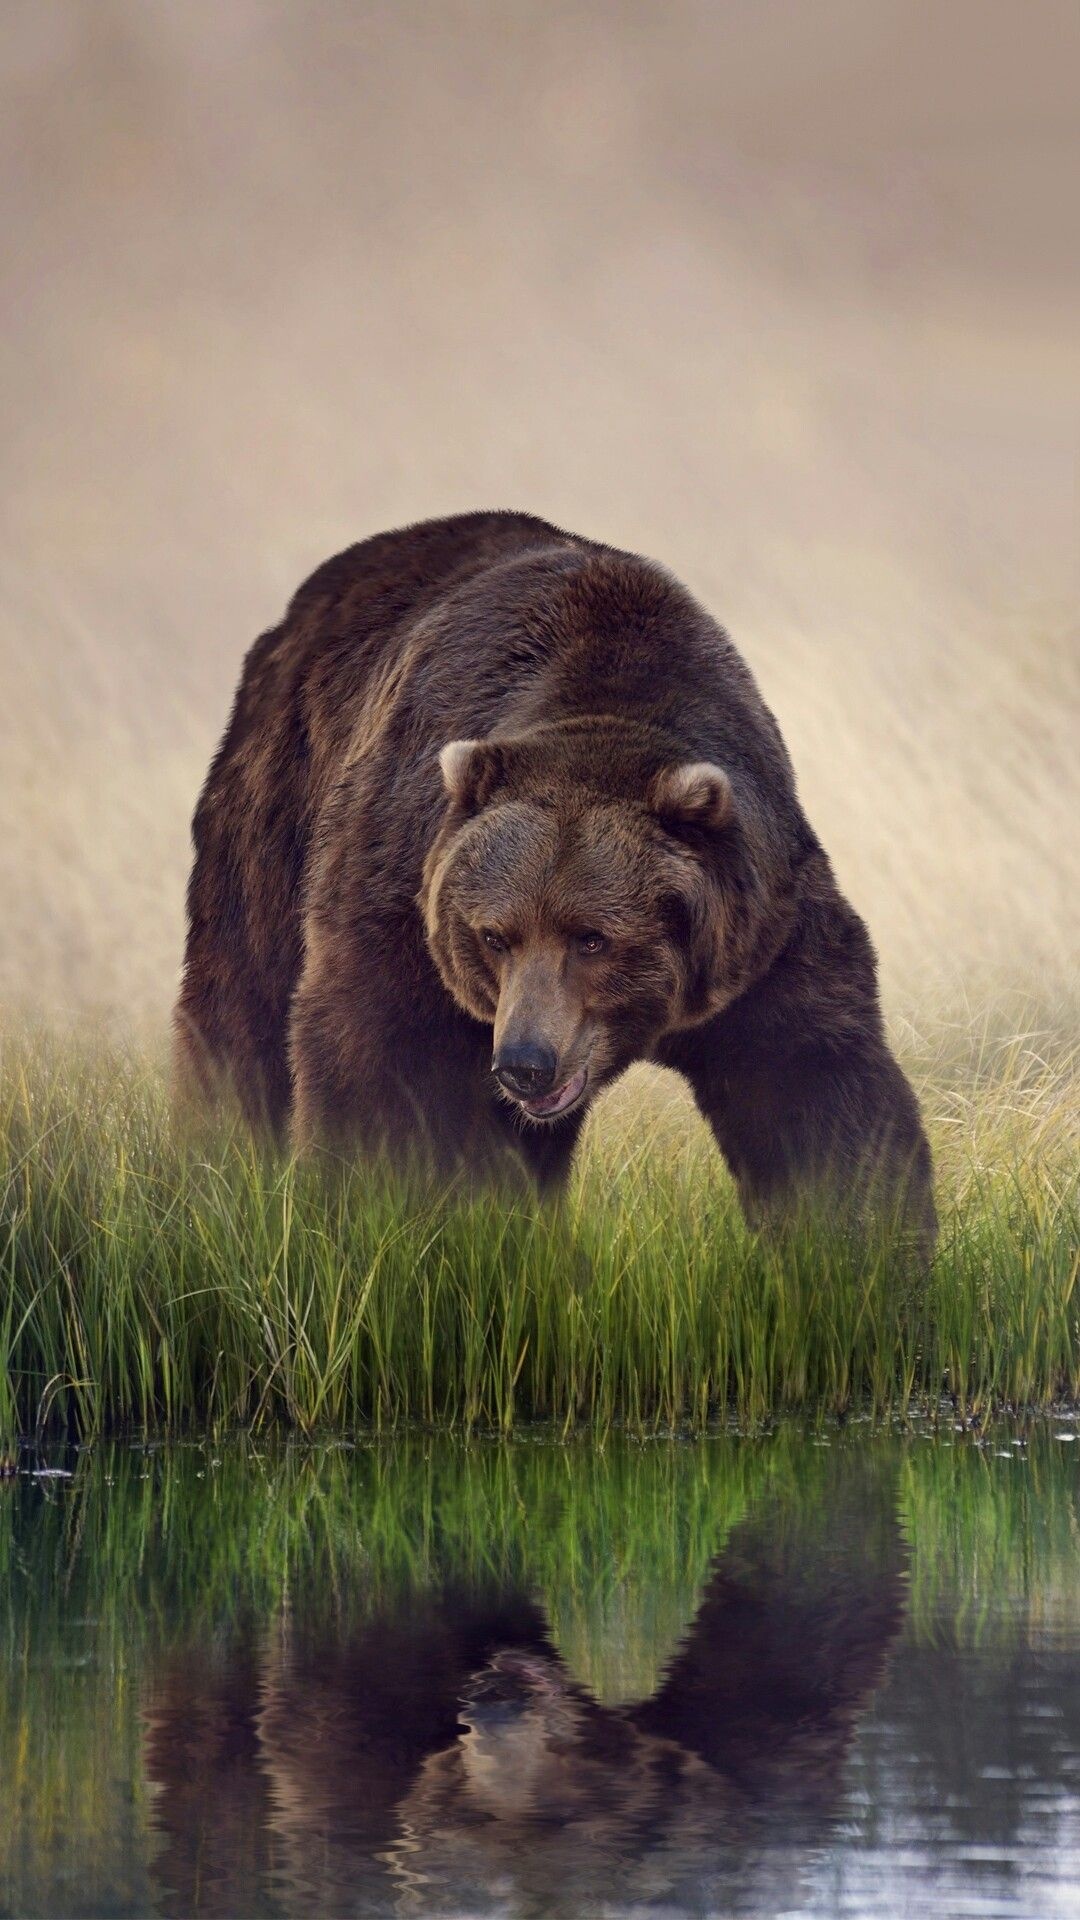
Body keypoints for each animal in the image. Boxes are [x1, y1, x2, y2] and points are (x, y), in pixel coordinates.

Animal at [176, 503, 933, 1236]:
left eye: (592, 937)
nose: (524, 1064)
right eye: (493, 935)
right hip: (277, 803)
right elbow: (377, 1062)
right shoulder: (402, 890)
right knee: (242, 1002)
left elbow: (817, 1087)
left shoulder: (761, 932)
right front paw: (368, 1211)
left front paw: (851, 1241)